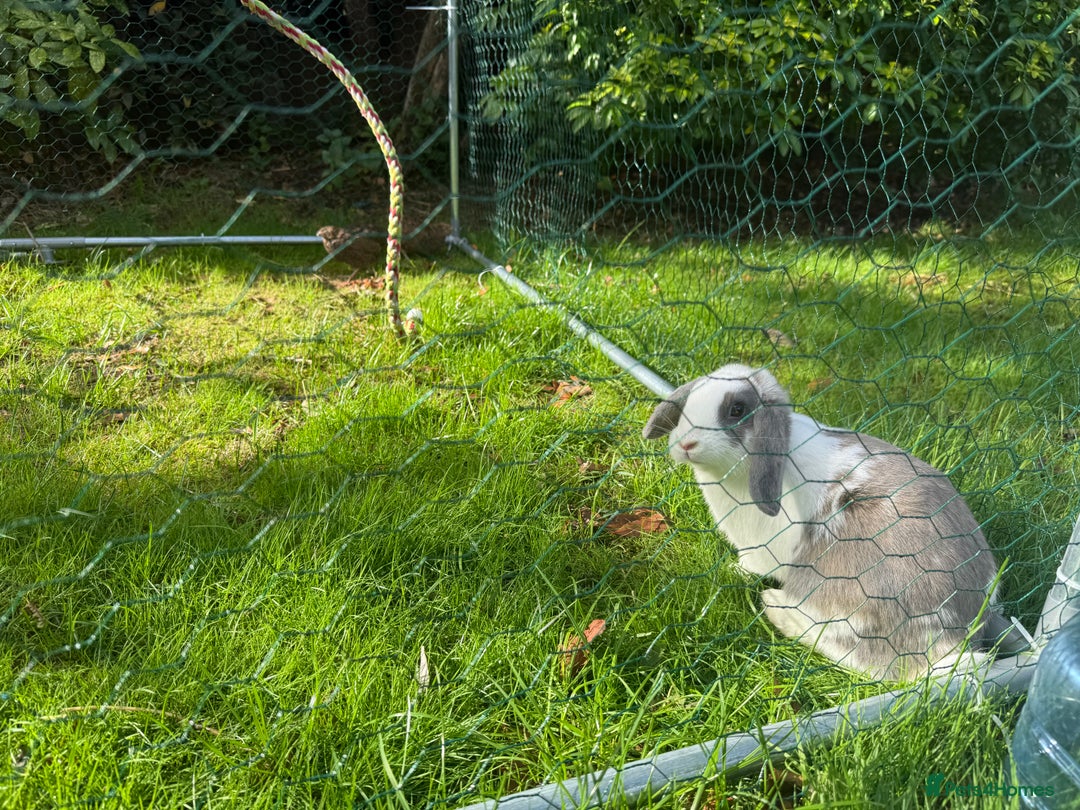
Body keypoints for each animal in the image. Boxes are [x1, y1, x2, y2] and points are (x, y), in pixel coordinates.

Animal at [643, 363, 1025, 681]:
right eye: (691, 400)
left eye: (737, 410)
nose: (686, 443)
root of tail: (956, 634)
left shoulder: (765, 551)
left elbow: (754, 565)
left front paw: (734, 571)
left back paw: (775, 607)